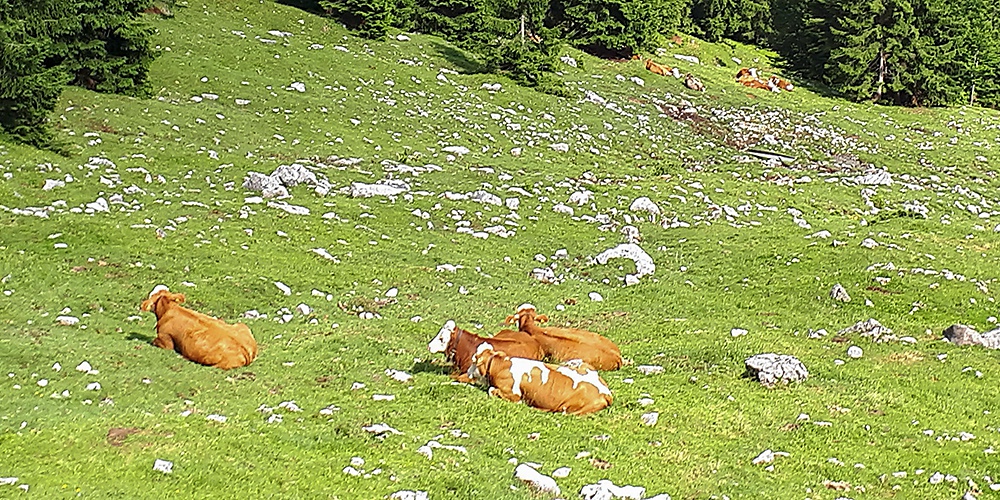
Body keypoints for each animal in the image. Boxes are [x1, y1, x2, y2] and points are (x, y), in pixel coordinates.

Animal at [470, 342, 616, 416]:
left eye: (474, 360)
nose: (468, 372)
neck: (501, 365)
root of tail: (607, 392)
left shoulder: (513, 395)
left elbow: (491, 390)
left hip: (568, 409)